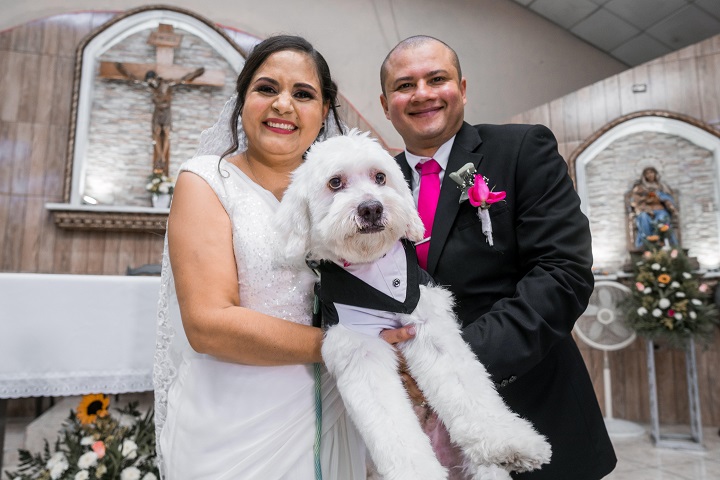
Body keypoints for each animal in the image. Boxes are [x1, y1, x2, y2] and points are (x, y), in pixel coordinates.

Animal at [276, 130, 552, 480]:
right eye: (335, 182)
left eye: (380, 177)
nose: (371, 208)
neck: (372, 265)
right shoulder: (359, 348)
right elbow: (390, 424)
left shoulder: (426, 320)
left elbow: (467, 388)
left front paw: (509, 441)